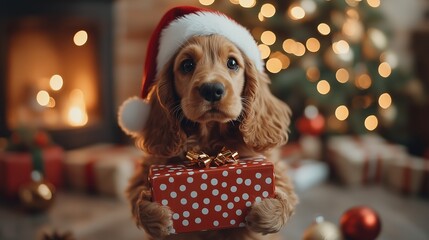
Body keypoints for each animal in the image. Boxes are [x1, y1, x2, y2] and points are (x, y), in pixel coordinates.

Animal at [118, 5, 296, 240]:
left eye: (232, 63)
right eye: (187, 65)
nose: (212, 89)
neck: (210, 140)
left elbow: (285, 190)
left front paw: (267, 212)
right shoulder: (147, 167)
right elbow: (138, 194)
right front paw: (156, 214)